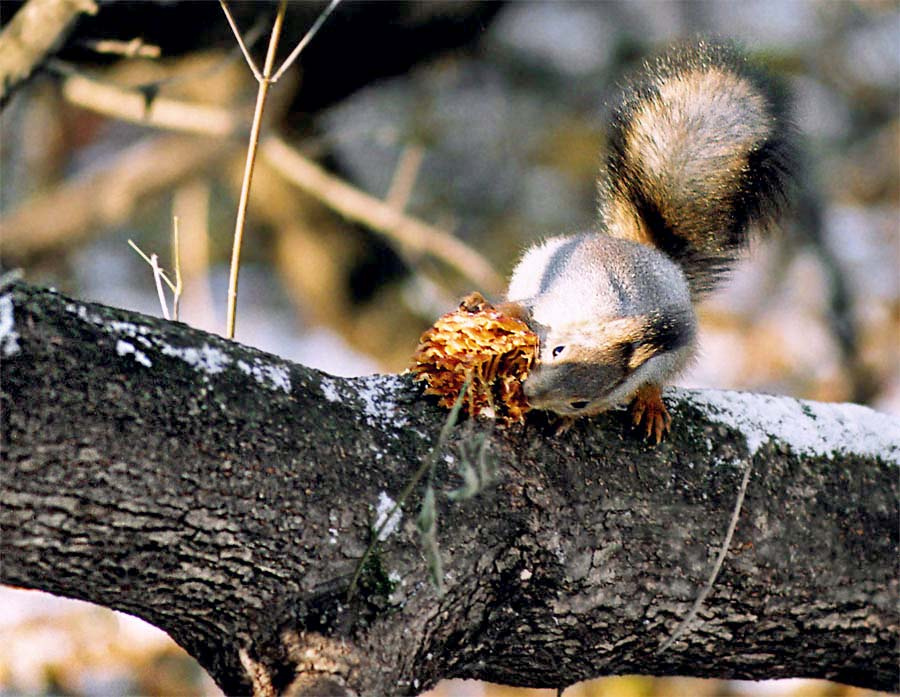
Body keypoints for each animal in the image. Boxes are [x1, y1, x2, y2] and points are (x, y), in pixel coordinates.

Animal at [502, 40, 795, 442]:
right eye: (557, 350)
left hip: (679, 351)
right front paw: (495, 311)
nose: (531, 395)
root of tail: (645, 249)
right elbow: (517, 309)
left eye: (581, 401)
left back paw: (651, 404)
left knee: (657, 378)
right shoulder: (546, 300)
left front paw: (566, 419)